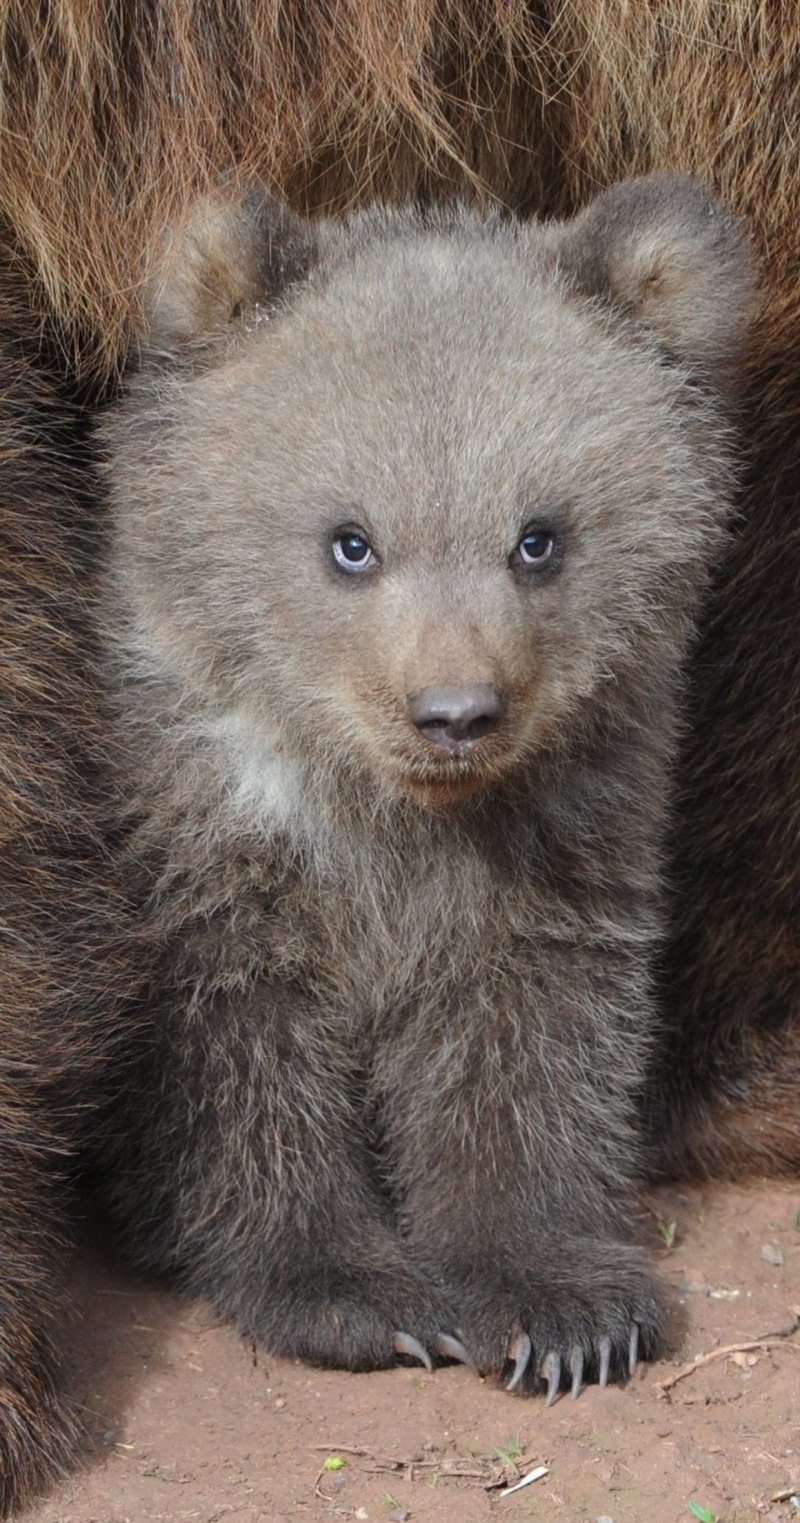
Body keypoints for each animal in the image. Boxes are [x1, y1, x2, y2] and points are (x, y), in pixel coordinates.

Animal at [94, 174, 753, 1397]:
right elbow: (237, 1061)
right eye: (350, 540)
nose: (455, 712)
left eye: (538, 537)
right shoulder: (201, 850)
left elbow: (526, 1048)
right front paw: (349, 1290)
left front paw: (560, 1304)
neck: (387, 822)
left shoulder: (556, 845)